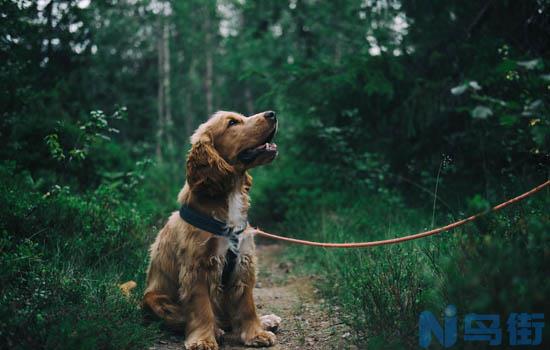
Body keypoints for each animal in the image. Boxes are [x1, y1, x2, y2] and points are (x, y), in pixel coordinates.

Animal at [143, 110, 280, 348]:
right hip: (155, 300)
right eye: (232, 123)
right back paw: (217, 330)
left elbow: (247, 305)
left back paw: (267, 320)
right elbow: (201, 309)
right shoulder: (197, 267)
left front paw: (256, 333)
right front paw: (203, 340)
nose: (272, 113)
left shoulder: (244, 262)